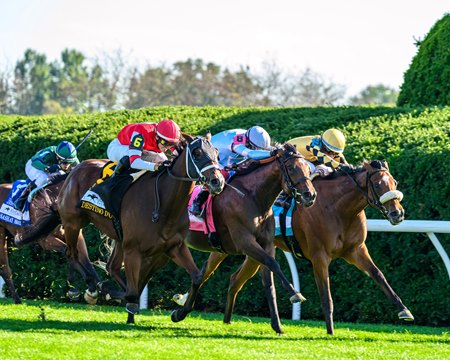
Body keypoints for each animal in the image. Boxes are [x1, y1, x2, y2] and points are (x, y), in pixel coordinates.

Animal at [170, 143, 316, 326]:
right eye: (290, 168)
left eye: (307, 168)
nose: (310, 195)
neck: (253, 198)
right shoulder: (245, 242)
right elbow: (273, 264)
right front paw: (295, 294)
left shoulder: (266, 244)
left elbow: (269, 281)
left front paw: (278, 325)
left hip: (218, 251)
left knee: (203, 274)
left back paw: (184, 311)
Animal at [185, 160, 414, 334]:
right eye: (378, 184)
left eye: (394, 182)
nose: (398, 214)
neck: (338, 209)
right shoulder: (319, 257)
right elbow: (326, 296)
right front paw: (330, 331)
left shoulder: (356, 250)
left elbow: (379, 275)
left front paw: (404, 310)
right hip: (226, 247)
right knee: (206, 273)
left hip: (254, 251)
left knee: (235, 279)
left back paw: (226, 320)